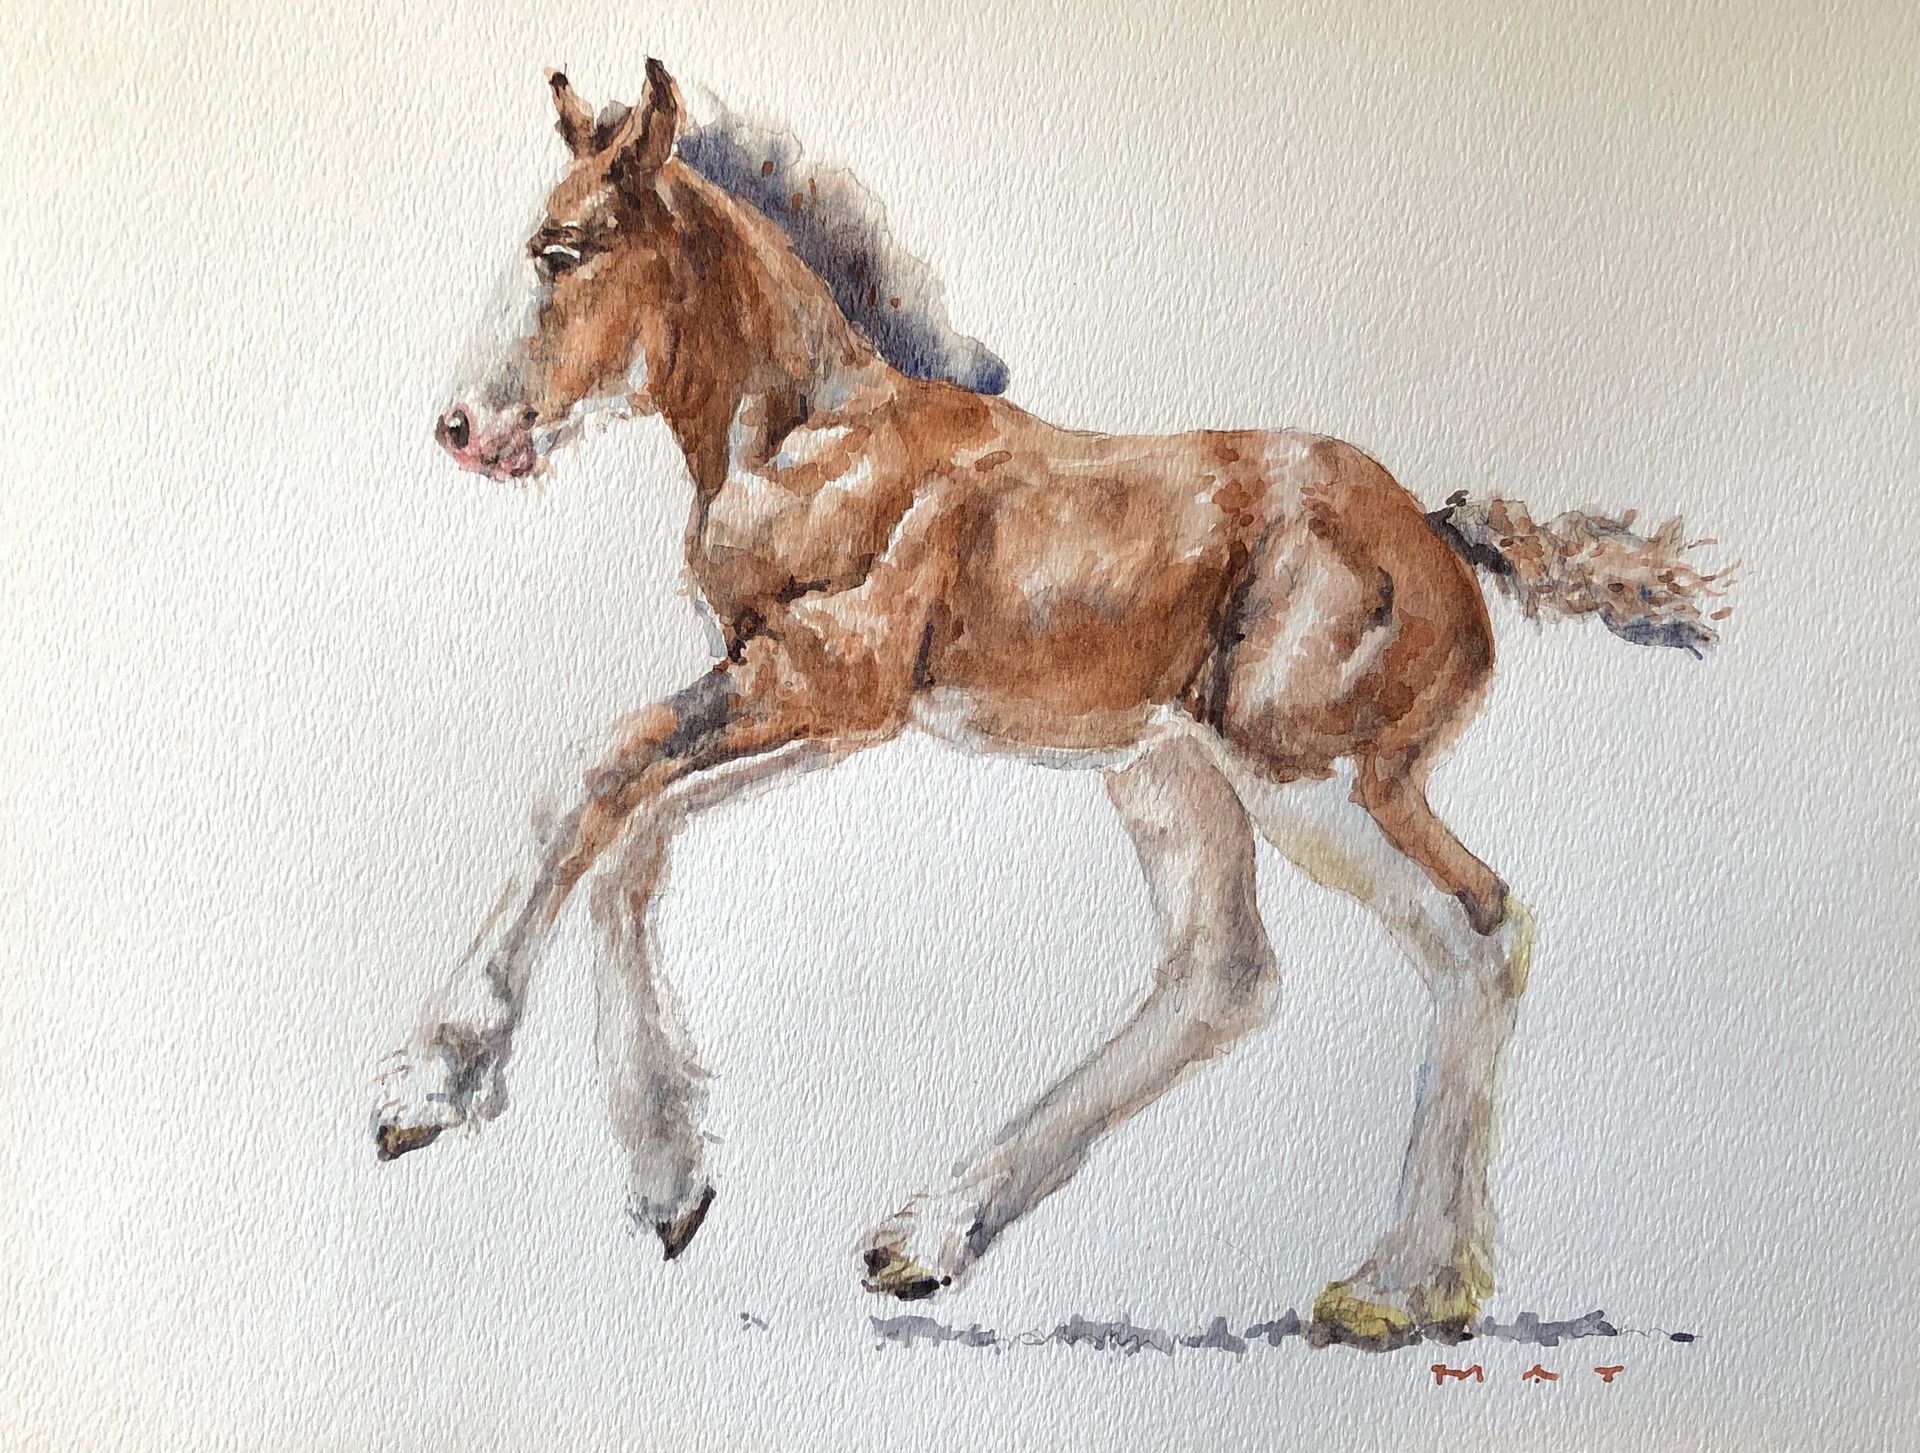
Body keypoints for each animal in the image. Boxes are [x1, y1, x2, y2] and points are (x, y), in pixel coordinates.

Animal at [374, 60, 1728, 1346]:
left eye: (560, 251)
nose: (461, 428)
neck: (815, 440)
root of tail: (1446, 537)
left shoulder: (820, 686)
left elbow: (593, 781)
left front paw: (431, 1087)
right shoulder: (820, 707)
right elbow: (634, 833)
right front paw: (669, 1179)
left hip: (1317, 779)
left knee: (1475, 928)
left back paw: (1401, 1288)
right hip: (1170, 773)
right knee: (1226, 973)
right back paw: (935, 1235)